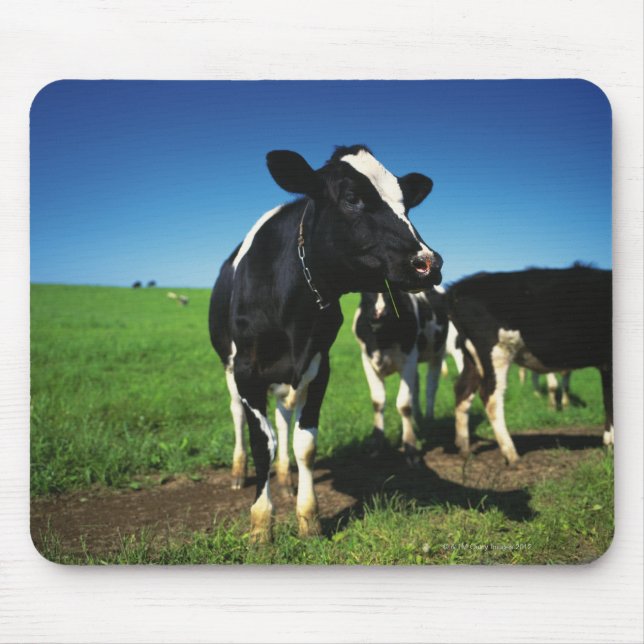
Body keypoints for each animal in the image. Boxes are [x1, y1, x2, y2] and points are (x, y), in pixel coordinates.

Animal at [353, 287, 448, 465]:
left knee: (431, 387)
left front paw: (411, 447)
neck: (382, 340)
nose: (379, 314)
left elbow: (404, 404)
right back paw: (418, 418)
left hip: (438, 353)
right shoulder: (367, 360)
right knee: (416, 386)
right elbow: (378, 402)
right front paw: (376, 444)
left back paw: (429, 420)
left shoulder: (409, 359)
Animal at [446, 265, 612, 466]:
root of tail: (459, 287)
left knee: (463, 389)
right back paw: (510, 453)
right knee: (490, 396)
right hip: (496, 351)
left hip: (471, 356)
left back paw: (464, 448)